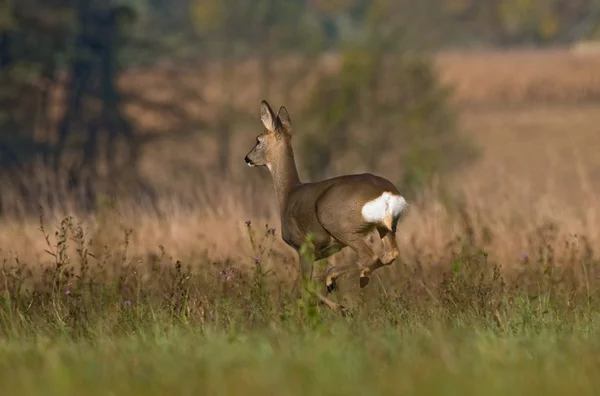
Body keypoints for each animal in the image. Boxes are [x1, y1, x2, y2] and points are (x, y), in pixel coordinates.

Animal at [244, 100, 408, 316]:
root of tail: (388, 194)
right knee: (390, 253)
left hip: (340, 225)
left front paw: (337, 307)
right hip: (385, 227)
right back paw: (361, 278)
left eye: (258, 140)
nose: (247, 158)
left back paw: (334, 281)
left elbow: (305, 284)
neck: (288, 194)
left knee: (368, 255)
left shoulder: (303, 245)